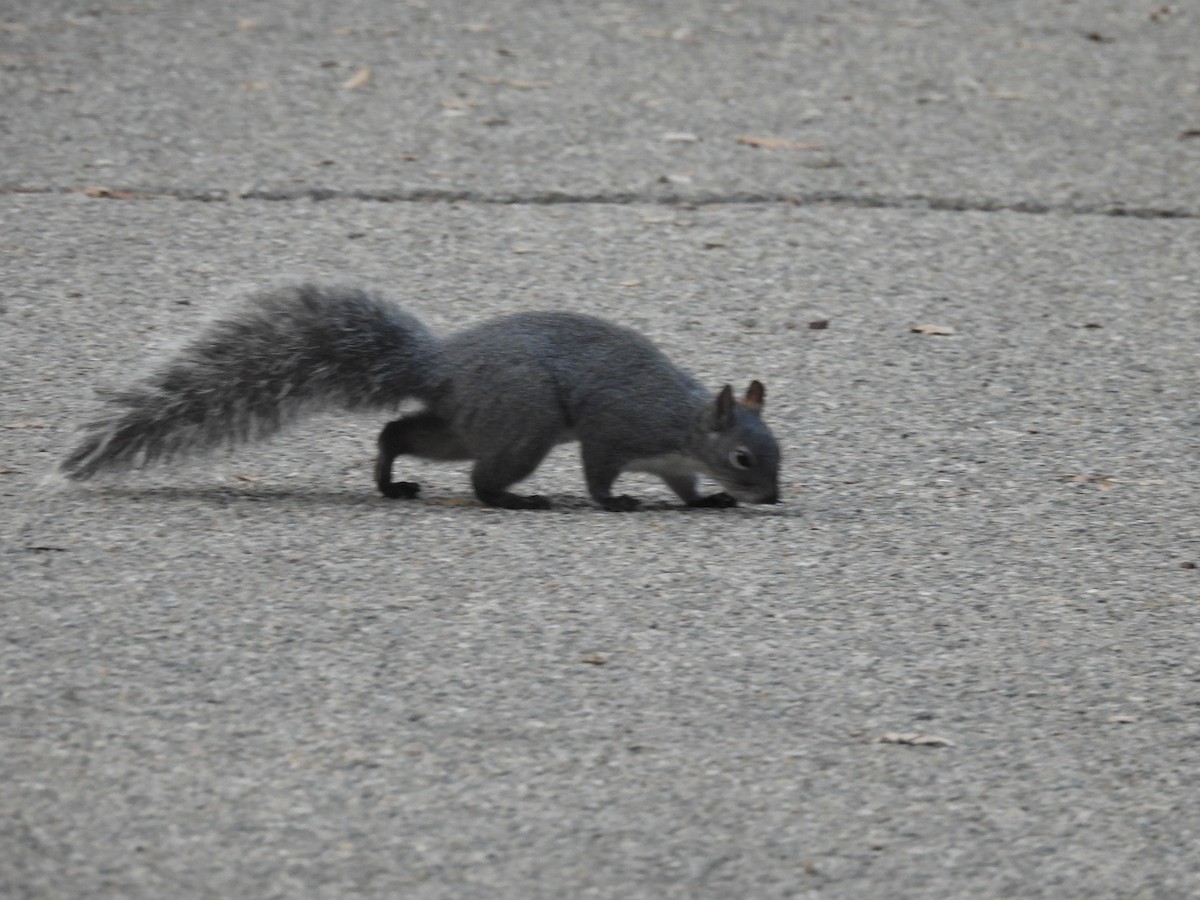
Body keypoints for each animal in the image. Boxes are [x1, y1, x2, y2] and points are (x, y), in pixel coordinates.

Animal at [61, 284, 781, 511]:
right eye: (745, 457)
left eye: (778, 451)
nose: (772, 497)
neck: (685, 425)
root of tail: (442, 364)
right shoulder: (617, 429)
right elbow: (601, 474)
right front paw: (616, 502)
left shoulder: (674, 461)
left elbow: (685, 487)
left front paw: (706, 502)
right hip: (525, 421)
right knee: (483, 480)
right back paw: (518, 500)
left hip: (464, 425)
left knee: (399, 433)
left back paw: (390, 482)